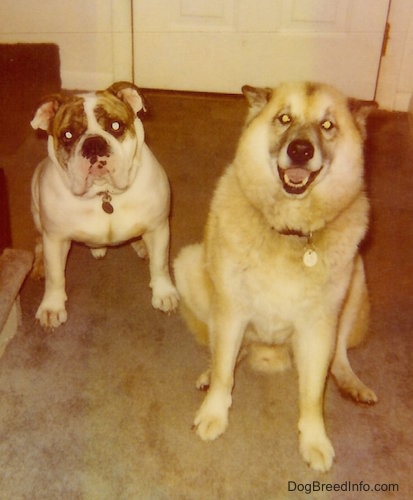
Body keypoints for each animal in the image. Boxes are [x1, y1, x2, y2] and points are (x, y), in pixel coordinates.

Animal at [173, 81, 376, 468]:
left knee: (340, 355)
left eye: (327, 125)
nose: (300, 151)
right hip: (189, 266)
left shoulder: (318, 328)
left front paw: (314, 438)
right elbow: (224, 370)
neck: (290, 232)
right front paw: (214, 412)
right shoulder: (232, 312)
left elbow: (312, 395)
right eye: (284, 118)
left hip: (356, 281)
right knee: (225, 355)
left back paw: (350, 381)